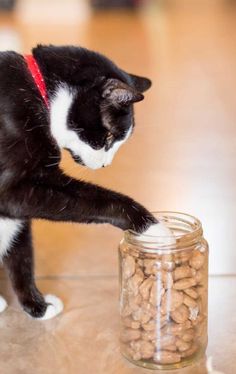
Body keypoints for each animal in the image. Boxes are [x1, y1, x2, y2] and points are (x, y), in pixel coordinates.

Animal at [0, 43, 173, 318]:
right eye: (109, 136)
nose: (106, 165)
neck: (38, 92)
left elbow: (22, 255)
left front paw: (39, 307)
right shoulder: (12, 191)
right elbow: (95, 199)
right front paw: (153, 229)